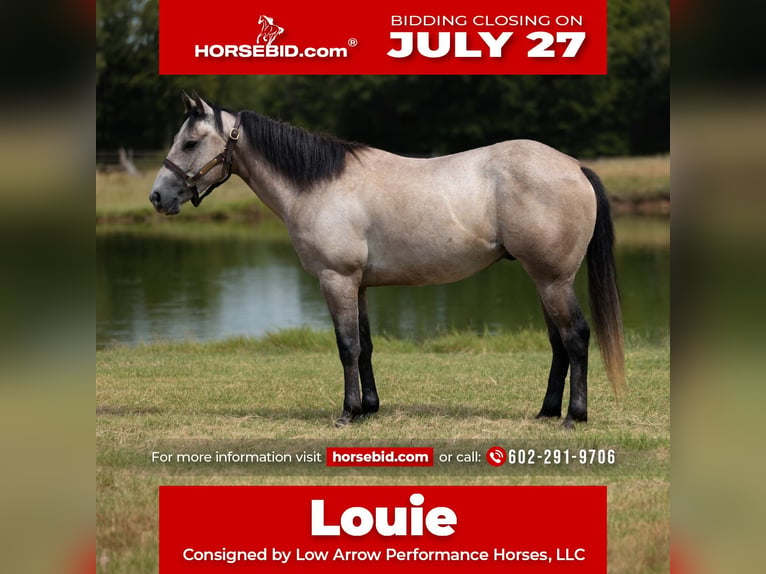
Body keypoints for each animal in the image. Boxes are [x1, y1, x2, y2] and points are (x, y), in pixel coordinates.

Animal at [150, 91, 626, 429]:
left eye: (190, 142)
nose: (157, 197)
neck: (319, 185)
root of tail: (575, 167)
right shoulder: (357, 285)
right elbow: (365, 346)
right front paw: (368, 408)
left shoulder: (336, 279)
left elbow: (346, 346)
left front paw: (347, 413)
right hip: (543, 280)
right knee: (558, 343)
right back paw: (546, 412)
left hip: (553, 280)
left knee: (576, 337)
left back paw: (573, 417)